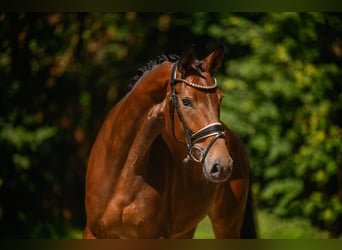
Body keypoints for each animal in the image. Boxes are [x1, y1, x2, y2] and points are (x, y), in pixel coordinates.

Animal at [83, 45, 255, 238]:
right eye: (186, 101)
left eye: (220, 98)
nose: (222, 164)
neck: (122, 173)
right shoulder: (92, 233)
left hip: (227, 224)